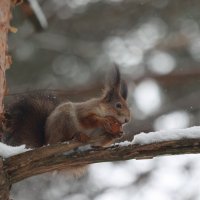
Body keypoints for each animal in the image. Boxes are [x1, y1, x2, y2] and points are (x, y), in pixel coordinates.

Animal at [1, 65, 130, 148]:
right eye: (118, 105)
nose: (127, 120)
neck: (103, 109)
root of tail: (46, 141)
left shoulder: (98, 137)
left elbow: (98, 144)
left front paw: (119, 134)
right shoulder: (86, 109)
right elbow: (87, 119)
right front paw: (104, 120)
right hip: (64, 119)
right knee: (62, 138)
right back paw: (77, 136)